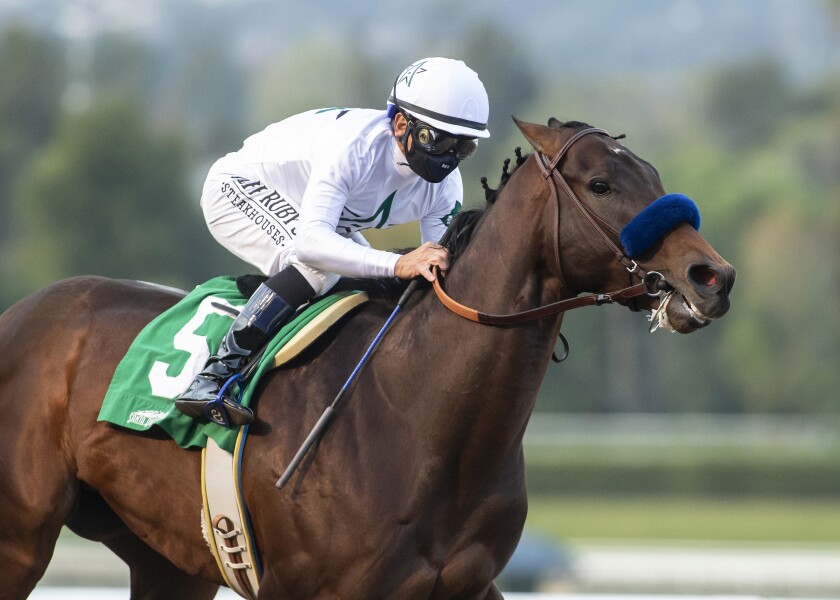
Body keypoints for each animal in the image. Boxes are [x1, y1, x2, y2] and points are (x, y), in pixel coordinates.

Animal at [0, 118, 735, 599]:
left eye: (654, 176)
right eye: (602, 182)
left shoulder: (467, 586)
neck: (415, 416)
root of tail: (22, 312)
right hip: (22, 536)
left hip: (166, 560)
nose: (712, 276)